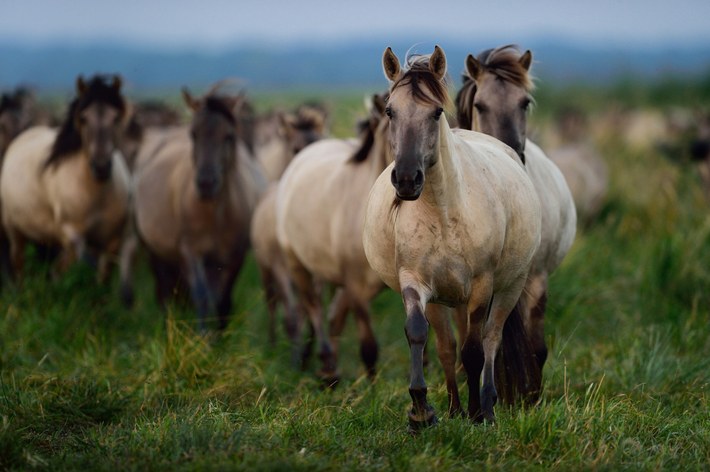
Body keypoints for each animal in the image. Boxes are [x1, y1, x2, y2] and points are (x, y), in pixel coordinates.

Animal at [0, 75, 131, 281]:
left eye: (116, 117)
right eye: (83, 118)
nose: (101, 167)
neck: (95, 193)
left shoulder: (112, 242)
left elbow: (102, 281)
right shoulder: (71, 238)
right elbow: (58, 273)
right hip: (14, 231)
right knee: (18, 263)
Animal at [130, 87, 265, 332]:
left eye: (228, 136)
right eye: (194, 134)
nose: (206, 183)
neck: (215, 214)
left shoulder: (234, 256)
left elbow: (222, 300)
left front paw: (218, 337)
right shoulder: (190, 252)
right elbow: (202, 297)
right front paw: (201, 336)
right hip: (156, 252)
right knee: (165, 293)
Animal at [363, 46, 541, 428]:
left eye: (436, 112)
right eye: (390, 111)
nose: (406, 179)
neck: (442, 213)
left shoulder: (481, 286)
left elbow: (474, 351)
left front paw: (477, 414)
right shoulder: (414, 281)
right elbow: (420, 334)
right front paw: (421, 410)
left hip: (509, 286)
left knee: (491, 339)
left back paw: (486, 405)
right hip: (446, 298)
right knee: (447, 346)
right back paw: (454, 408)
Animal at [455, 45, 577, 400]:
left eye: (525, 103)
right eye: (480, 105)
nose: (510, 151)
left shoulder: (535, 277)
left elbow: (535, 347)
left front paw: (530, 395)